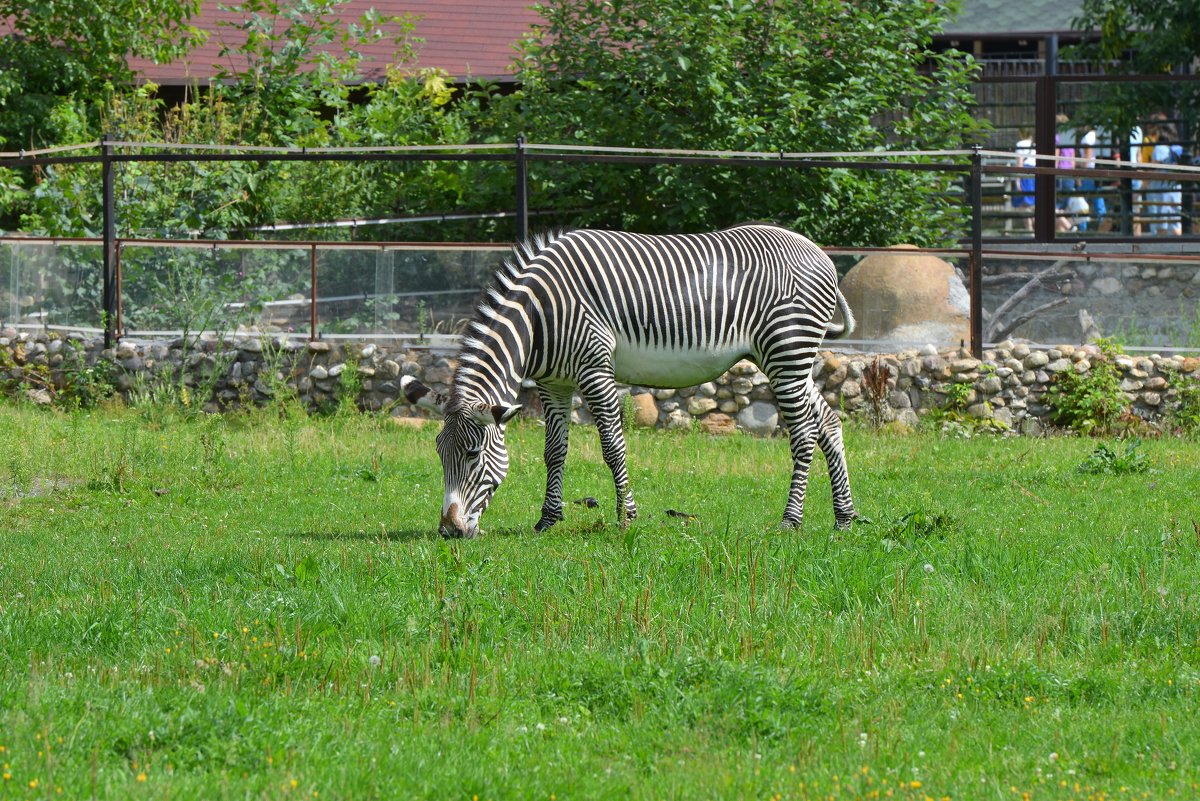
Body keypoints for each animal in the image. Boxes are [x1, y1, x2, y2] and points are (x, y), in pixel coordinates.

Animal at [403, 224, 864, 537]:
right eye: (440, 455)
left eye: (473, 455)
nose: (449, 532)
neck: (537, 316)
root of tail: (819, 252)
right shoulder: (554, 383)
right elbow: (554, 452)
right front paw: (548, 519)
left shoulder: (595, 370)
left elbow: (612, 447)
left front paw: (627, 517)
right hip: (789, 359)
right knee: (828, 422)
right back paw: (844, 517)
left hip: (787, 351)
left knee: (803, 434)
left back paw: (791, 520)